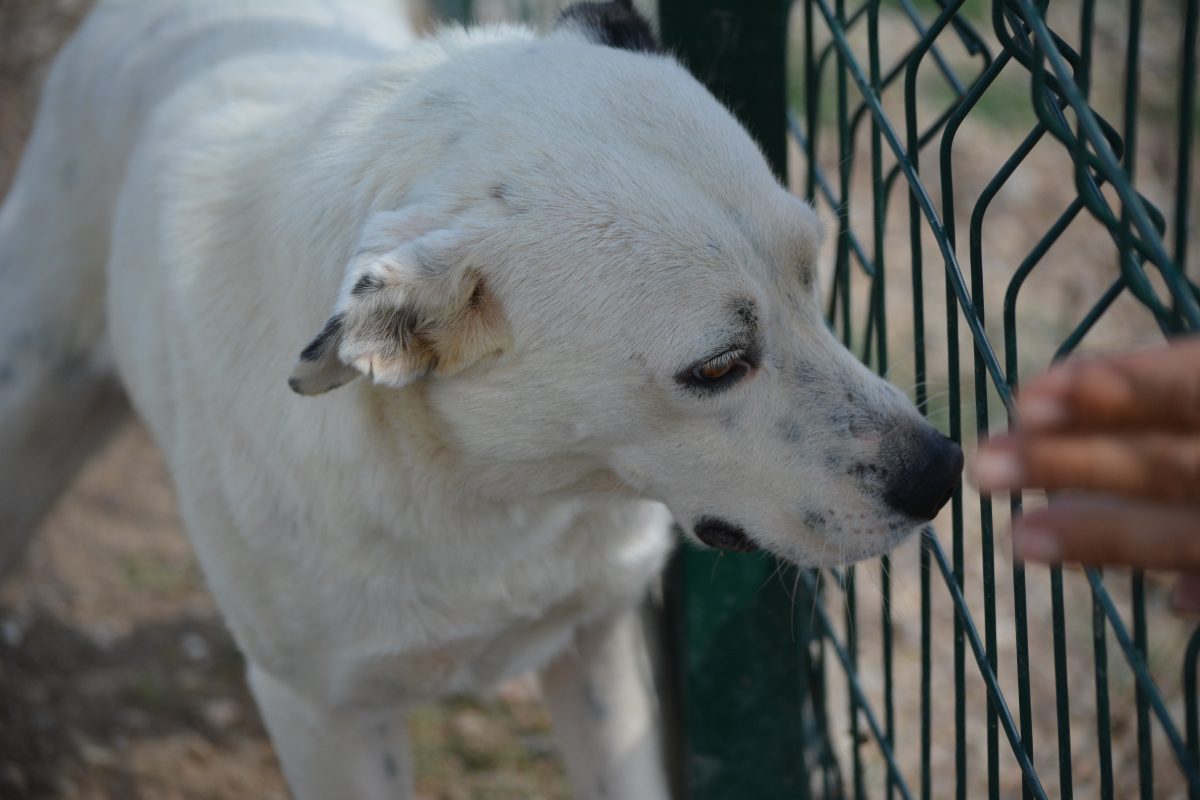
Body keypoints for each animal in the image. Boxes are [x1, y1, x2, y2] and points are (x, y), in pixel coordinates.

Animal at [0, 1, 962, 796]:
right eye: (718, 366)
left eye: (813, 272)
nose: (942, 472)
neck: (483, 492)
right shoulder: (324, 717)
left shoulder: (598, 648)